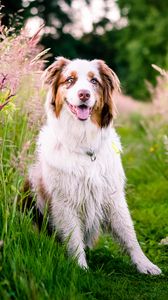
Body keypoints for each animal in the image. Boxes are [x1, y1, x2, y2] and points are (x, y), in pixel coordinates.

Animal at [27, 56, 161, 274]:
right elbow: (73, 237)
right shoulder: (65, 200)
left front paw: (144, 264)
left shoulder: (113, 195)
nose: (84, 94)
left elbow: (129, 233)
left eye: (94, 81)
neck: (84, 144)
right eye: (70, 80)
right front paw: (80, 268)